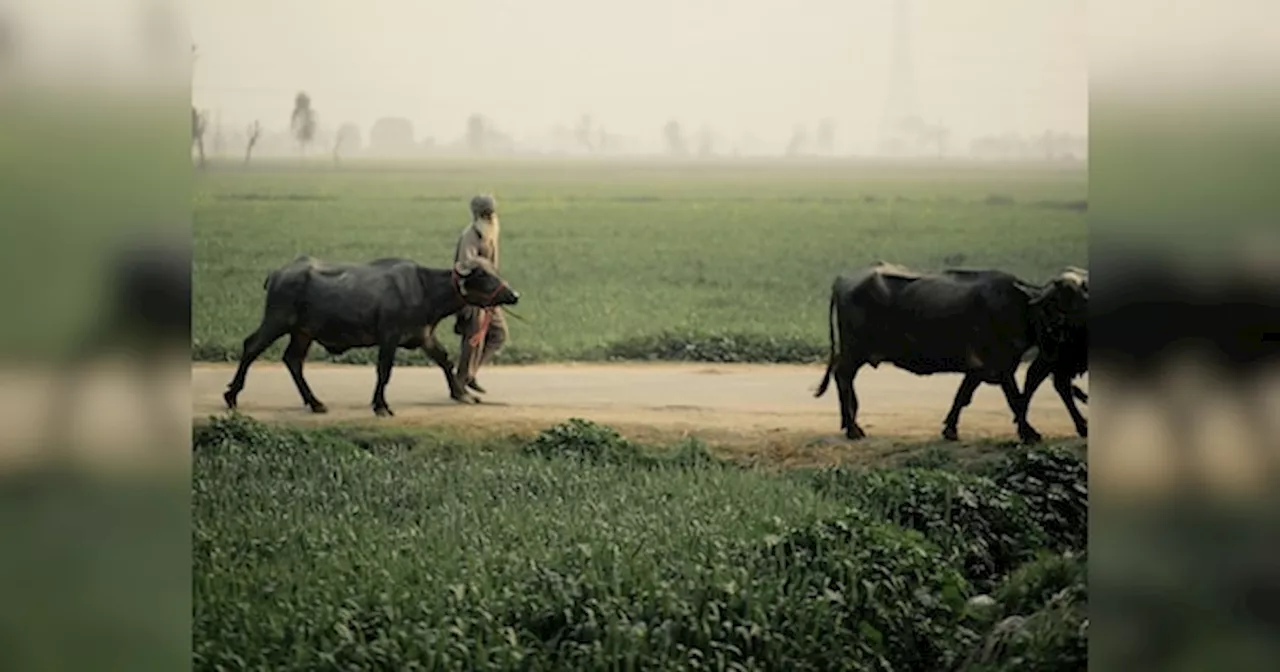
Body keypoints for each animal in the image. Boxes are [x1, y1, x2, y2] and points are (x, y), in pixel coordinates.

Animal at [225, 256, 519, 417]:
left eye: (495, 272)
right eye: (484, 276)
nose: (514, 295)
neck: (424, 290)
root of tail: (277, 274)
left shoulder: (423, 336)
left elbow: (445, 361)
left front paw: (462, 394)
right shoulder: (389, 336)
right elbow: (384, 371)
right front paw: (380, 406)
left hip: (302, 332)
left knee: (293, 360)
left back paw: (315, 403)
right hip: (277, 320)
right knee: (251, 346)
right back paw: (231, 396)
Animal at [814, 262, 1085, 445]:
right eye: (1067, 298)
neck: (1020, 307)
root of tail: (842, 279)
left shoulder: (979, 368)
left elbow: (963, 395)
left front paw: (950, 429)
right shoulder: (1001, 365)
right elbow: (1015, 399)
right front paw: (1029, 433)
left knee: (843, 377)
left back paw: (848, 423)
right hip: (854, 351)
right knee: (843, 376)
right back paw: (853, 429)